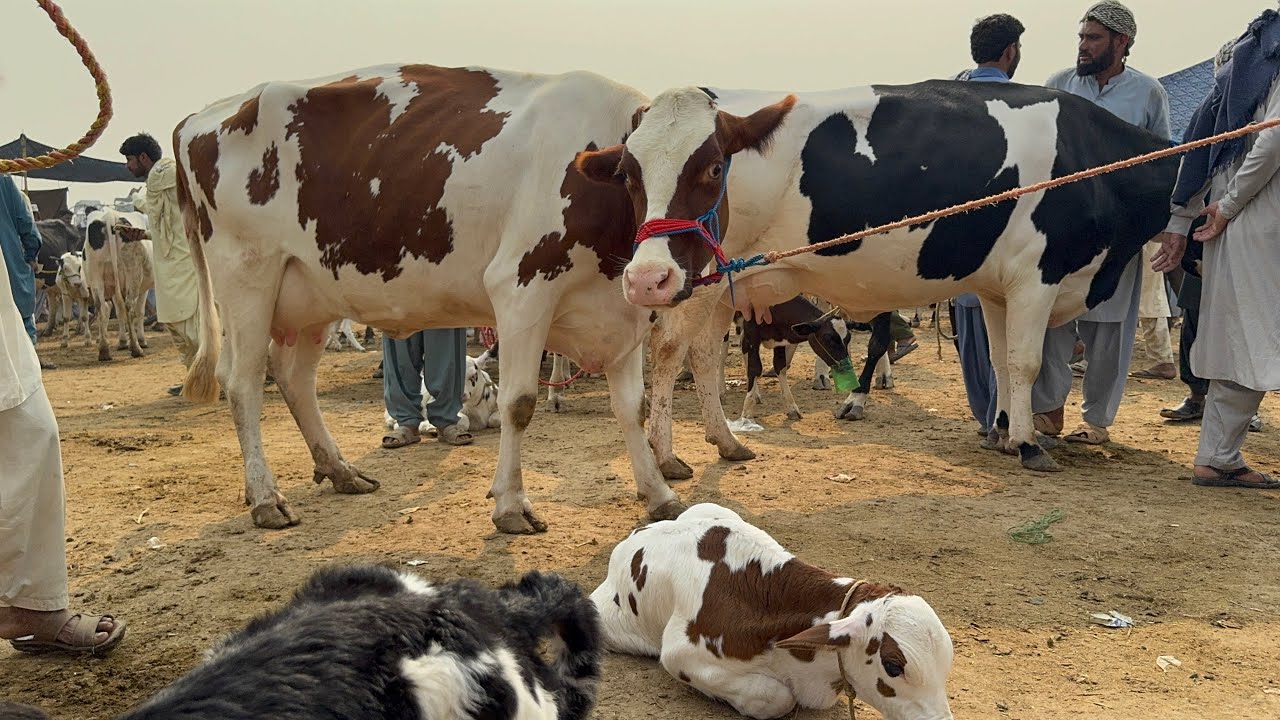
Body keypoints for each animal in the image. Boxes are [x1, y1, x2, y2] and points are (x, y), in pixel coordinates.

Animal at [83, 208, 155, 362]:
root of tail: (110, 215)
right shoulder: (143, 289)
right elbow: (140, 312)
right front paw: (141, 340)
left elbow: (119, 311)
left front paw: (122, 342)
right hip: (133, 273)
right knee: (129, 307)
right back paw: (136, 348)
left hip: (96, 276)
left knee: (100, 307)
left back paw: (104, 351)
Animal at [172, 63, 685, 532]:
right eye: (630, 174)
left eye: (703, 170)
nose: (656, 277)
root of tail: (200, 117)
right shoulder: (520, 289)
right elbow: (519, 403)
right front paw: (511, 505)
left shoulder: (623, 314)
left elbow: (632, 407)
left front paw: (659, 494)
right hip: (247, 278)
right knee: (242, 383)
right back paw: (265, 497)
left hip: (310, 293)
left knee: (295, 379)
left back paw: (339, 470)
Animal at [575, 81, 1179, 473]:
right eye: (628, 175)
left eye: (713, 166)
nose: (643, 279)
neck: (1093, 159)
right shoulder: (1038, 273)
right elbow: (1025, 362)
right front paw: (1031, 445)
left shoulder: (998, 286)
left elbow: (1003, 359)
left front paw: (1007, 432)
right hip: (690, 280)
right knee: (669, 351)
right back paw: (668, 454)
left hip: (712, 282)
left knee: (702, 354)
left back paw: (726, 441)